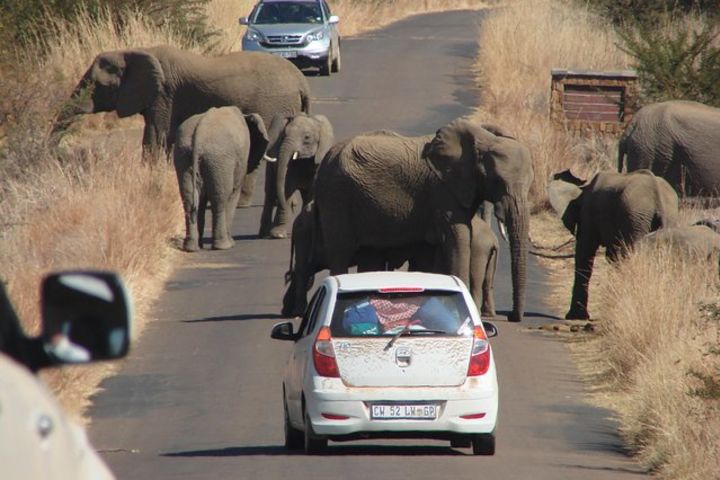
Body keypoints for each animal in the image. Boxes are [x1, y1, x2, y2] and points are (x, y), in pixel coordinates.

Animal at [57, 45, 310, 206]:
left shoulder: (163, 95)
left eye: (95, 85)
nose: (56, 155)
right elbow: (165, 138)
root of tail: (302, 81)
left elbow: (155, 136)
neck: (134, 51)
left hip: (274, 106)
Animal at [174, 106, 270, 251]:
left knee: (189, 199)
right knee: (220, 199)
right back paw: (223, 245)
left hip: (184, 156)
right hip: (220, 159)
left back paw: (191, 247)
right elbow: (233, 193)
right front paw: (231, 243)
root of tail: (200, 133)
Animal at [312, 117, 532, 322]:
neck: (483, 139)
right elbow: (458, 237)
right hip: (336, 194)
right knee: (340, 250)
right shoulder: (442, 190)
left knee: (369, 252)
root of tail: (328, 156)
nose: (511, 317)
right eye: (497, 181)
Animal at [548, 168, 676, 318]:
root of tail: (659, 199)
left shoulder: (589, 213)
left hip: (635, 219)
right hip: (660, 220)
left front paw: (575, 316)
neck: (582, 188)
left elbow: (585, 252)